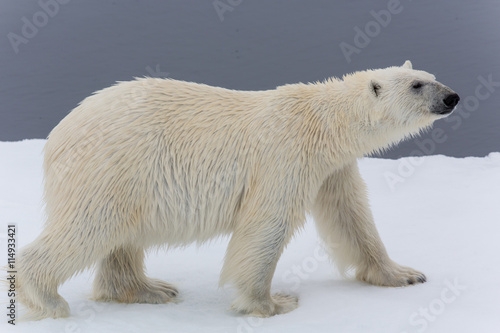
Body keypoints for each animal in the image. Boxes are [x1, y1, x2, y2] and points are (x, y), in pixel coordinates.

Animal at [16, 61, 460, 318]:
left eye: (433, 77)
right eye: (417, 85)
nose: (452, 97)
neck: (322, 124)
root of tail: (58, 134)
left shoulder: (332, 168)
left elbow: (351, 217)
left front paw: (404, 274)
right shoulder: (286, 154)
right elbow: (268, 223)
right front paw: (272, 303)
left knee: (120, 238)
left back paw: (150, 289)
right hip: (111, 167)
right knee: (90, 226)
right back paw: (47, 300)